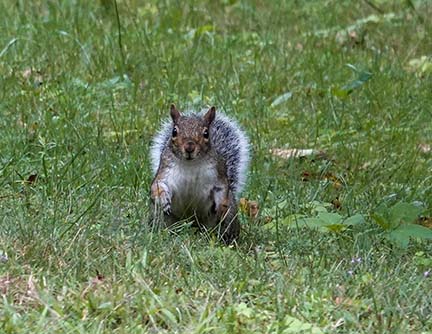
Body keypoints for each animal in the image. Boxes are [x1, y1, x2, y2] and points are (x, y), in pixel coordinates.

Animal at [150, 105, 250, 244]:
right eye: (174, 132)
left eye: (206, 133)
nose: (189, 147)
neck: (191, 164)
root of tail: (193, 226)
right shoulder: (165, 172)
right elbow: (158, 185)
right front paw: (163, 199)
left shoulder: (219, 175)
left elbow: (222, 190)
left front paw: (221, 208)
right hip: (159, 216)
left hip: (227, 220)